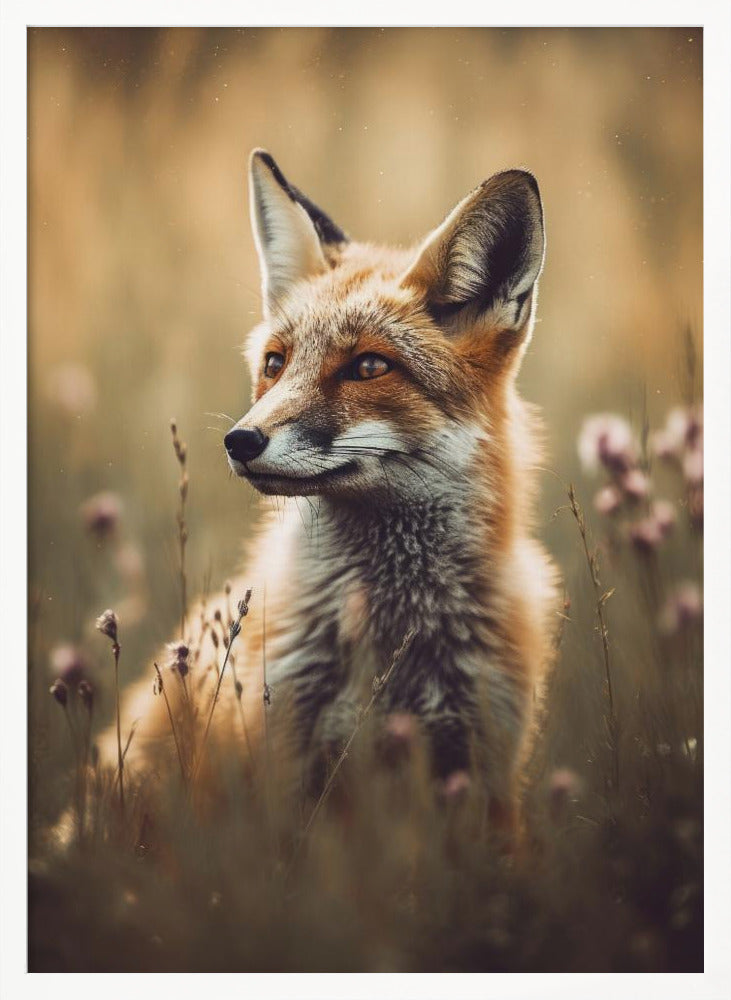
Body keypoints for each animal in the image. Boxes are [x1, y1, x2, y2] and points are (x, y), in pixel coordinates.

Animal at [92, 149, 559, 837]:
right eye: (275, 363)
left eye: (369, 367)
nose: (239, 440)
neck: (393, 640)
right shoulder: (282, 764)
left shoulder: (484, 771)